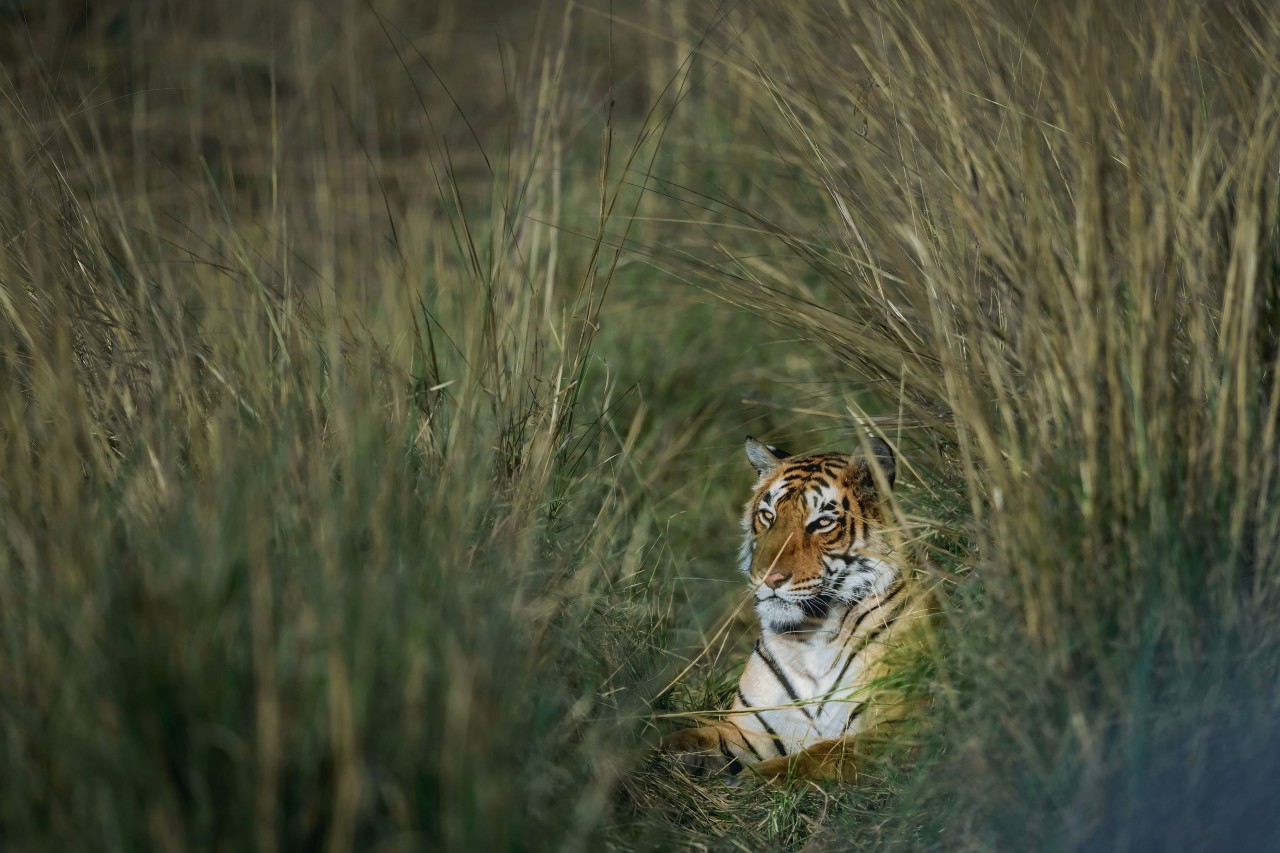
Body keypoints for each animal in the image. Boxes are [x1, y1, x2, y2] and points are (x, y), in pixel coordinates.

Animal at [660, 435, 931, 778]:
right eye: (768, 516)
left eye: (822, 523)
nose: (768, 577)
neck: (811, 639)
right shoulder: (751, 731)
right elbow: (699, 736)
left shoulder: (896, 729)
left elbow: (821, 756)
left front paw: (755, 780)